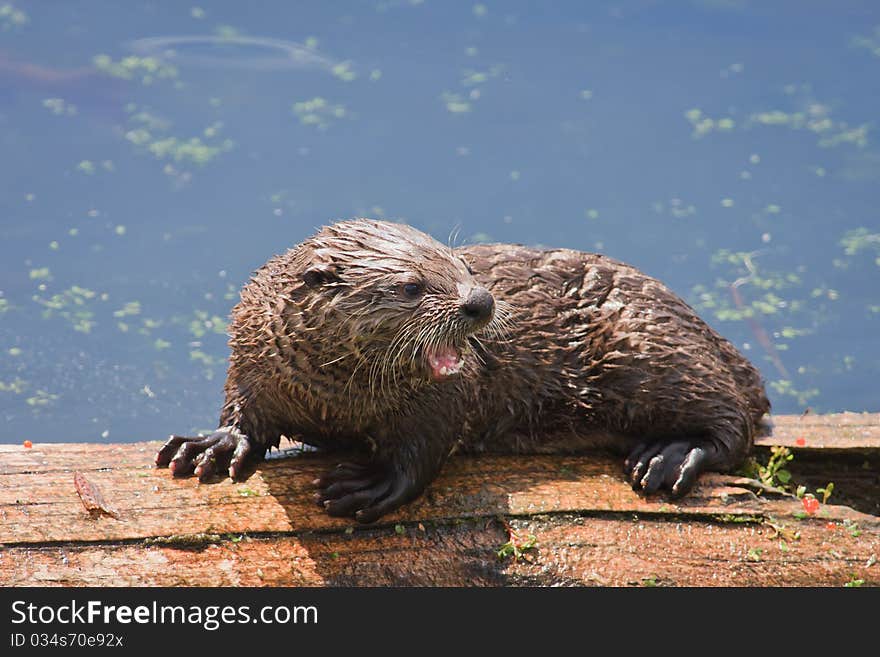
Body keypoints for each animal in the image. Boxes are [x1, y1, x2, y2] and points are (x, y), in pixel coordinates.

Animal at [156, 220, 768, 524]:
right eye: (411, 286)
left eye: (461, 267)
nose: (480, 301)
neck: (334, 393)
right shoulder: (254, 360)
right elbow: (244, 413)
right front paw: (212, 444)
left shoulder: (445, 398)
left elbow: (422, 450)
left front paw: (369, 485)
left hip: (654, 347)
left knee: (735, 422)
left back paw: (667, 457)